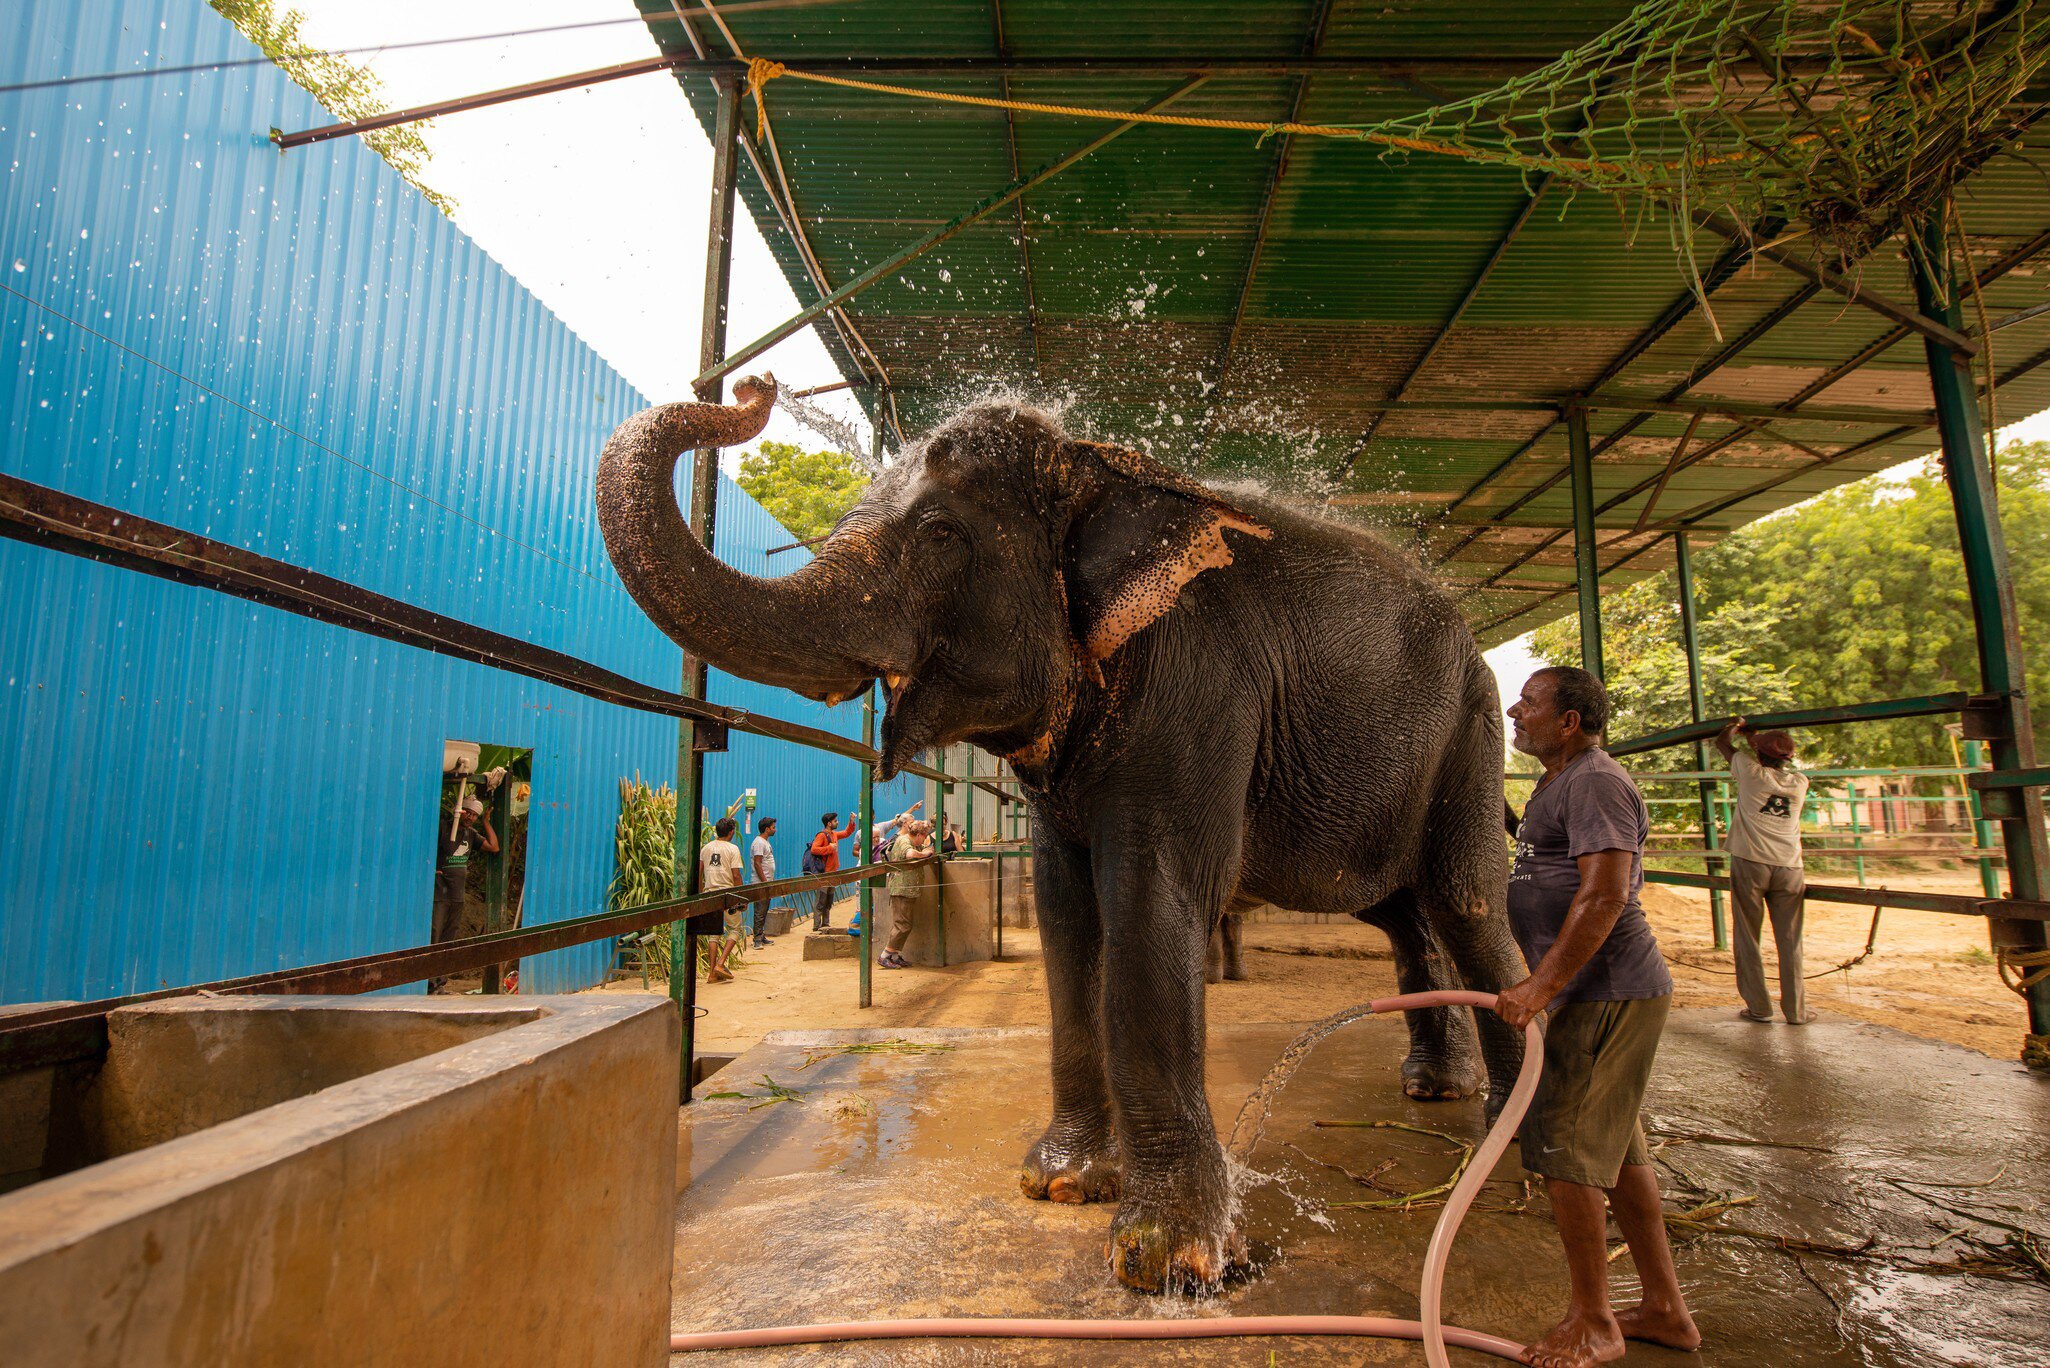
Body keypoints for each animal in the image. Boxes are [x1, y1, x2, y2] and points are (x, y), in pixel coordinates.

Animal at [595, 375, 1526, 1295]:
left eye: (941, 534)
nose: (753, 387)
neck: (1094, 466)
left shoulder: (1196, 684)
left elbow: (1150, 901)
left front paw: (1167, 1260)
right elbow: (1065, 911)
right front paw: (1062, 1185)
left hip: (1475, 732)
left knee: (1464, 902)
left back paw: (1506, 1137)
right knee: (1400, 910)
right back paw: (1434, 1090)